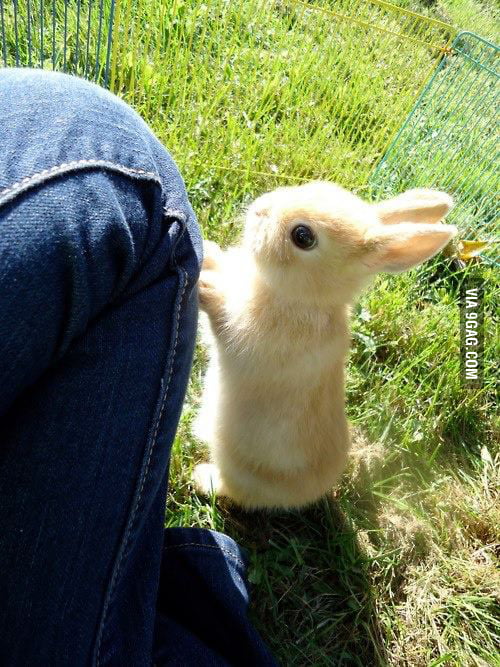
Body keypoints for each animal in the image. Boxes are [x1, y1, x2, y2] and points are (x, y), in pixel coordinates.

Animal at [193, 181, 456, 510]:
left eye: (302, 236)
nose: (260, 208)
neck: (304, 298)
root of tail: (315, 490)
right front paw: (210, 251)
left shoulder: (243, 333)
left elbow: (220, 316)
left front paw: (205, 286)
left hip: (238, 467)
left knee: (234, 489)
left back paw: (202, 479)